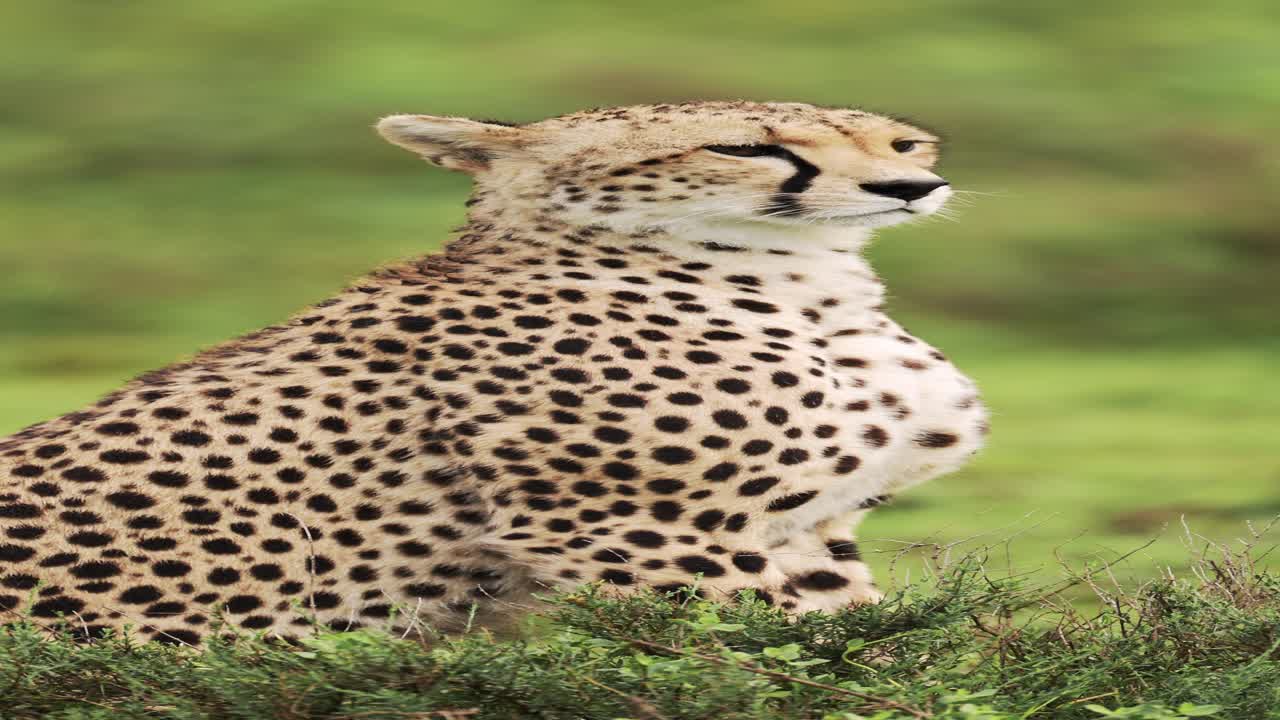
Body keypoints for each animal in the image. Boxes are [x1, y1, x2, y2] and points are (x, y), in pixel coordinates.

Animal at [0, 101, 987, 644]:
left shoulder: (809, 528)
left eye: (904, 146)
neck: (808, 285)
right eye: (745, 149)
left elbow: (863, 641)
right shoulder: (636, 530)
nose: (911, 189)